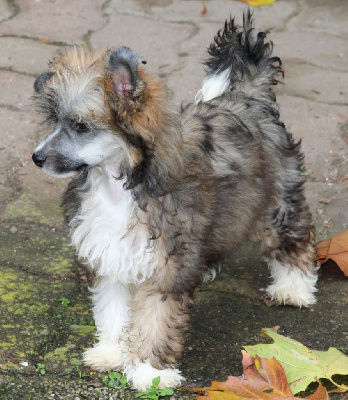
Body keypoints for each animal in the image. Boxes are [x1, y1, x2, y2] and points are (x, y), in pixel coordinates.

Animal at [32, 11, 318, 390]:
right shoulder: (112, 253)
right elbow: (113, 308)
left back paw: (293, 288)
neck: (119, 185)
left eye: (80, 126)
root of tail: (250, 95)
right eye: (54, 122)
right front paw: (111, 352)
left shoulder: (165, 266)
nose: (37, 158)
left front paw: (149, 372)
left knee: (292, 237)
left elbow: (155, 320)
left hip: (279, 198)